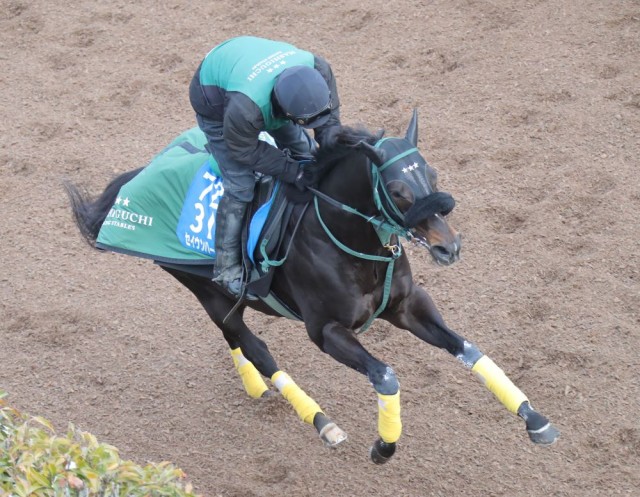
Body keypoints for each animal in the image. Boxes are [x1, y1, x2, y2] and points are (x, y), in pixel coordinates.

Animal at [62, 110, 556, 464]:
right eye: (398, 190)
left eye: (432, 175)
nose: (449, 246)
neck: (348, 240)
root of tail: (140, 175)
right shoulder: (327, 330)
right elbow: (386, 375)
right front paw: (384, 445)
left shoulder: (407, 306)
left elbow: (467, 348)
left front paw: (534, 418)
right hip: (202, 287)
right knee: (251, 342)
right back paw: (320, 420)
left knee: (233, 337)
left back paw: (255, 386)